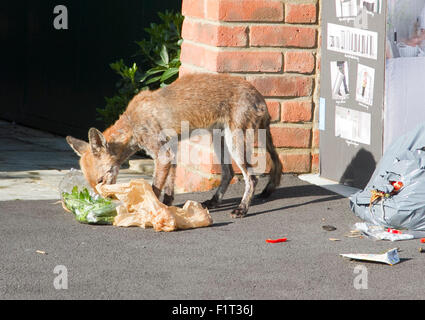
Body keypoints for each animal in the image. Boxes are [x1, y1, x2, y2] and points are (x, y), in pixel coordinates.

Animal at [66, 73, 282, 218]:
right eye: (91, 185)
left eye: (102, 180)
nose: (101, 203)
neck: (134, 122)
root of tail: (258, 95)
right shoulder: (171, 152)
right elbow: (169, 187)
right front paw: (168, 206)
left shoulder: (162, 155)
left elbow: (154, 189)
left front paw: (148, 211)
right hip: (219, 142)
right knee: (230, 174)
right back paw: (214, 201)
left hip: (235, 143)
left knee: (252, 178)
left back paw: (242, 209)